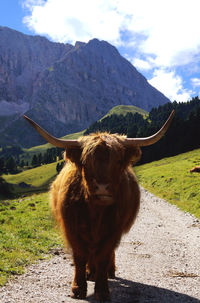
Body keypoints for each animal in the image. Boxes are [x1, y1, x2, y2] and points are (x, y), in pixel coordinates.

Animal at [23, 111, 173, 302]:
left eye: (118, 161)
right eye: (86, 162)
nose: (102, 188)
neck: (95, 212)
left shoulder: (113, 231)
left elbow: (103, 256)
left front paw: (102, 290)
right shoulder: (72, 230)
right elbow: (80, 257)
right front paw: (78, 288)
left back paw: (108, 271)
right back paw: (90, 273)